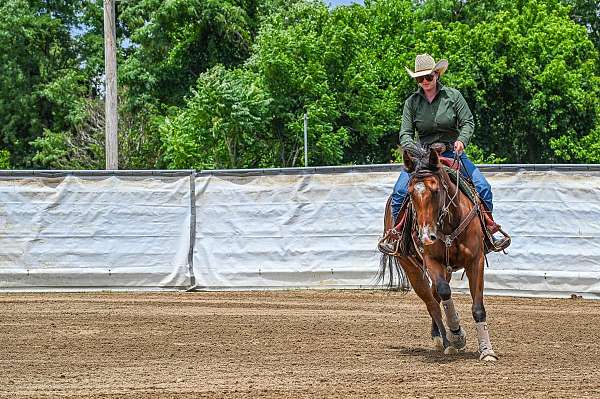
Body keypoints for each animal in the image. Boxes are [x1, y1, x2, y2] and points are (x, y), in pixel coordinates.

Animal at [382, 146, 500, 362]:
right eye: (410, 193)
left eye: (436, 190)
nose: (426, 236)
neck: (449, 222)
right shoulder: (431, 261)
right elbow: (445, 292)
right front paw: (457, 335)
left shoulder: (476, 261)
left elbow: (478, 307)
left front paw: (487, 350)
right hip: (411, 267)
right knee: (432, 302)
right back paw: (445, 341)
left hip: (446, 269)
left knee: (434, 296)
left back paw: (438, 335)